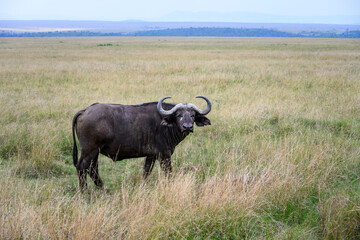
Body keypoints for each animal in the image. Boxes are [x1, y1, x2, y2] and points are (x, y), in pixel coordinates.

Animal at [72, 96, 211, 190]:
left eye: (193, 115)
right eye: (179, 115)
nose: (188, 127)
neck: (166, 124)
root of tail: (85, 110)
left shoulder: (151, 156)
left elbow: (146, 172)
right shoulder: (164, 155)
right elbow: (168, 173)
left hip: (95, 152)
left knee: (92, 169)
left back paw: (104, 190)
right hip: (89, 150)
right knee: (81, 168)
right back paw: (85, 193)